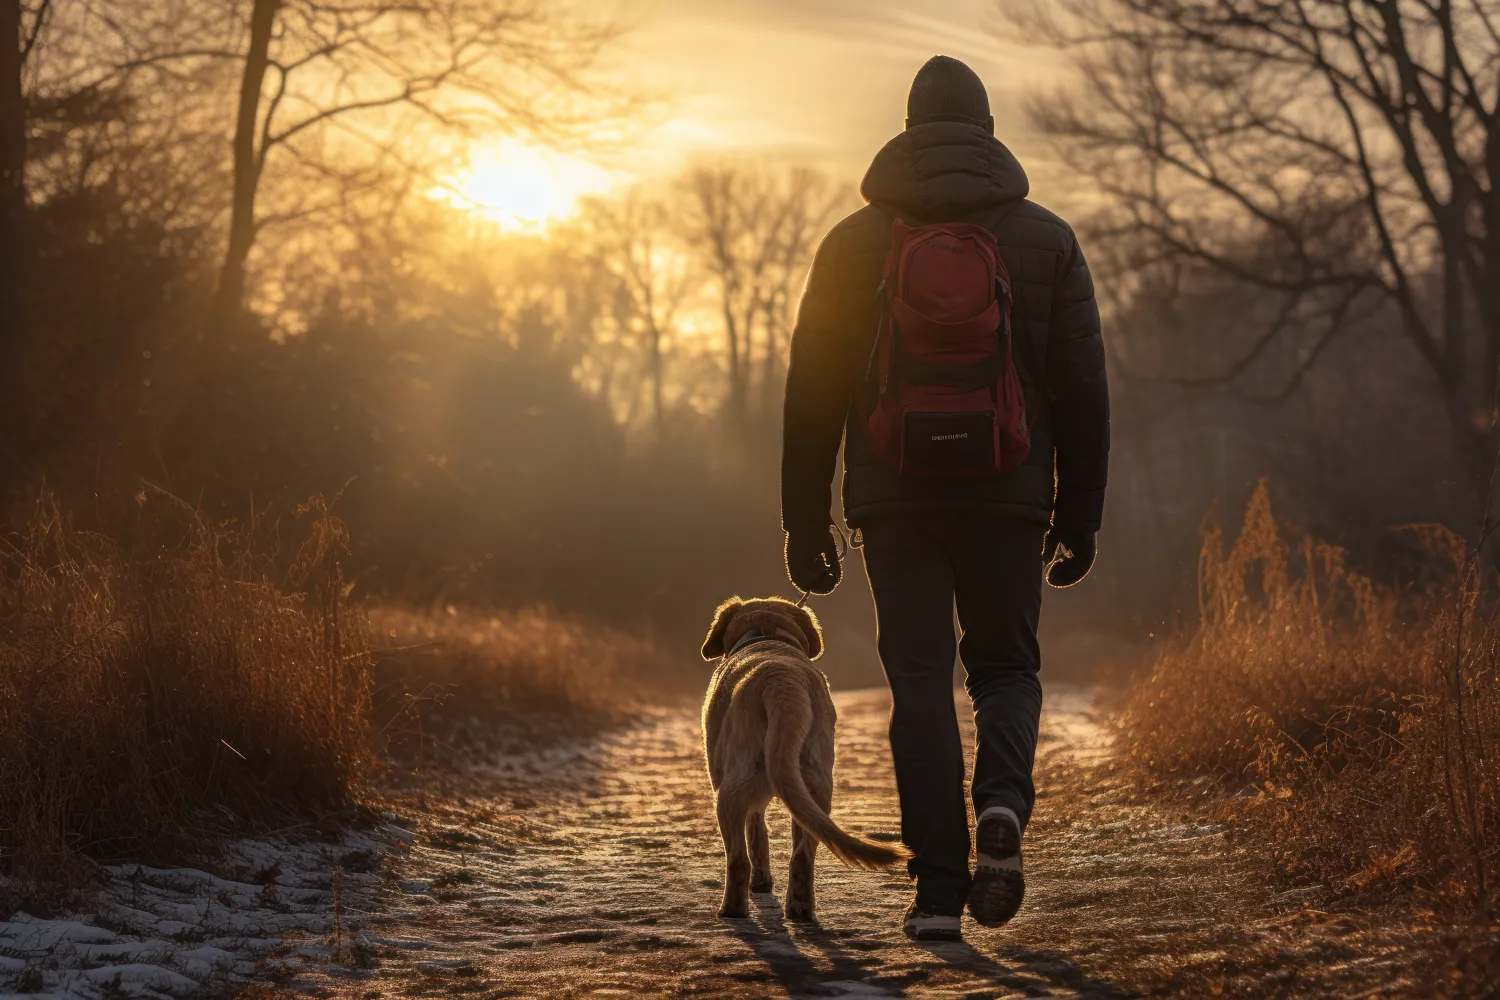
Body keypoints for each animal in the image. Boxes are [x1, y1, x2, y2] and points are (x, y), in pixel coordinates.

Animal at [699, 593, 900, 923]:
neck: (765, 633)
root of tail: (781, 682)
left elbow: (756, 832)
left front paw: (760, 883)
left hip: (730, 791)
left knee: (738, 858)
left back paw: (732, 911)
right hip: (815, 787)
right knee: (803, 855)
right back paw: (800, 910)